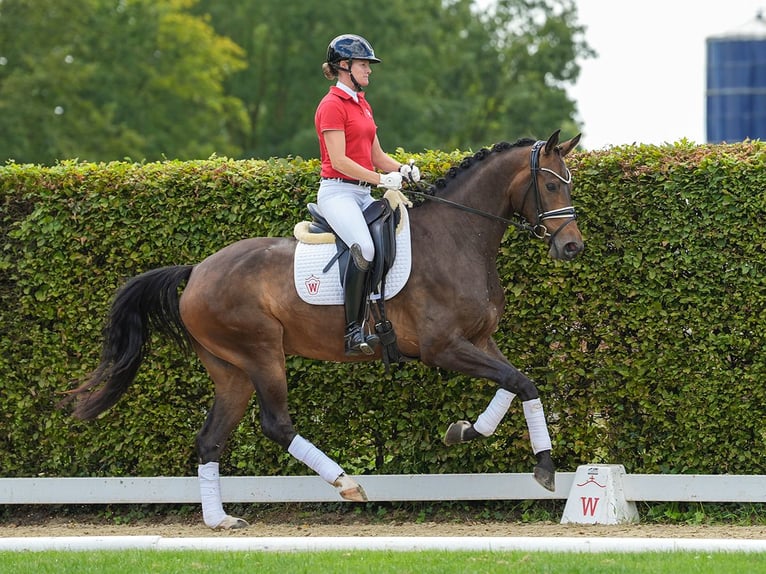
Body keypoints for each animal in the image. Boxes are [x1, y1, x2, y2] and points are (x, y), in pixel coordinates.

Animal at [66, 129, 584, 532]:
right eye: (550, 185)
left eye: (569, 184)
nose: (572, 247)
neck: (458, 236)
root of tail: (195, 272)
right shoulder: (445, 347)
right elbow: (519, 382)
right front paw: (540, 466)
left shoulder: (479, 340)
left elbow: (517, 383)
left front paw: (471, 433)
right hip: (261, 353)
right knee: (276, 424)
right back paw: (347, 484)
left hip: (230, 370)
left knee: (210, 438)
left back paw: (220, 520)